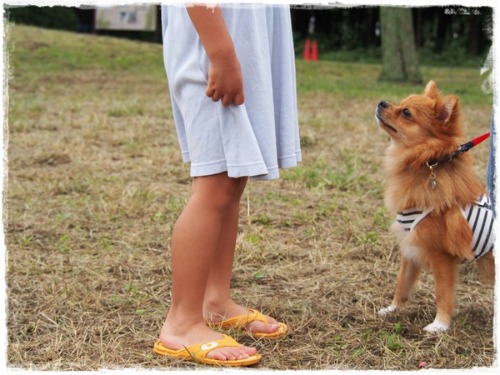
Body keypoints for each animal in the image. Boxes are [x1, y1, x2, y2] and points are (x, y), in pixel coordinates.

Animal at [376, 80, 496, 332]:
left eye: (406, 113)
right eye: (401, 103)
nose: (382, 102)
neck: (425, 163)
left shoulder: (441, 256)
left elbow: (442, 292)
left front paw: (440, 324)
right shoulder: (410, 247)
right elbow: (402, 285)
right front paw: (391, 309)